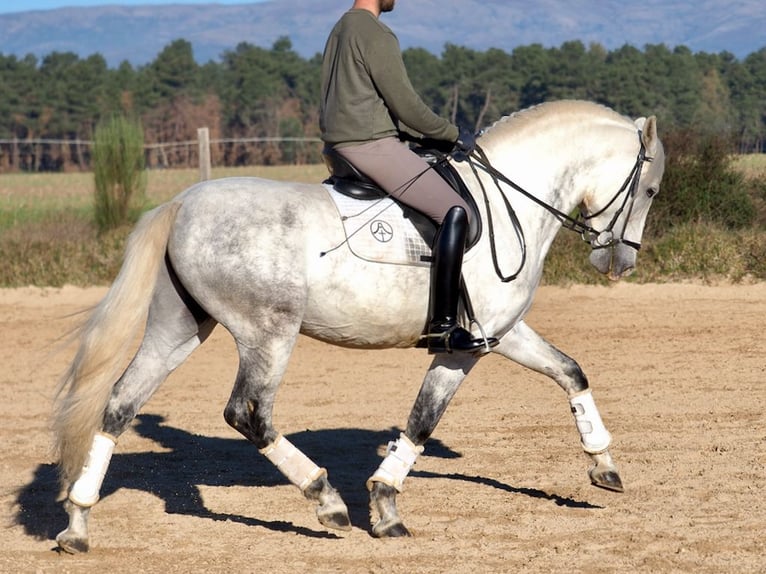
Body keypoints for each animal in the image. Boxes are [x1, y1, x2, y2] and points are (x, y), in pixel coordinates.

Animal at [52, 100, 664, 552]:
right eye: (651, 189)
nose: (620, 263)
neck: (509, 200)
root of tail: (181, 203)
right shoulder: (462, 347)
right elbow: (423, 420)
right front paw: (385, 505)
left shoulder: (502, 332)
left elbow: (570, 371)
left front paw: (604, 465)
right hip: (267, 334)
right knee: (248, 413)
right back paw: (324, 499)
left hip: (178, 327)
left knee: (120, 403)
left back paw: (78, 523)